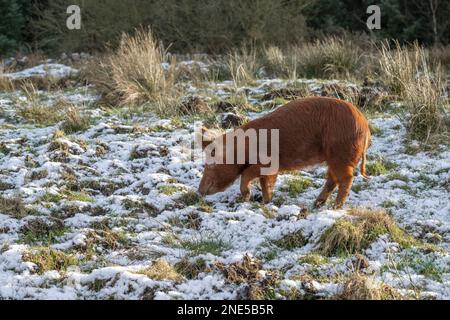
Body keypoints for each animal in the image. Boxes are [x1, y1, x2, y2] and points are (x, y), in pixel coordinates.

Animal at [196, 96, 370, 209]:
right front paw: (266, 202)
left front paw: (247, 196)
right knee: (332, 179)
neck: (243, 148)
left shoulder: (267, 163)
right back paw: (316, 204)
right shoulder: (270, 170)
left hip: (341, 154)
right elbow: (265, 183)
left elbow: (247, 175)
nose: (199, 192)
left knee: (346, 178)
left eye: (209, 165)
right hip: (334, 157)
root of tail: (365, 125)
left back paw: (336, 207)